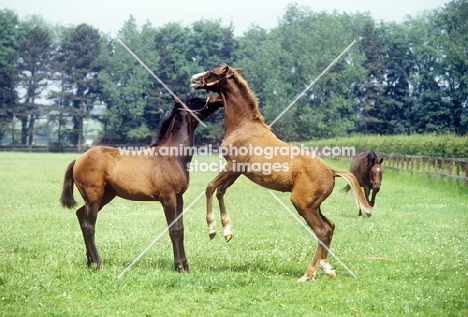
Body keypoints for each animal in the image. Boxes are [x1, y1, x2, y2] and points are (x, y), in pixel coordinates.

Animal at [59, 96, 223, 272]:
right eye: (194, 101)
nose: (218, 98)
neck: (172, 156)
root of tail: (78, 159)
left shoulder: (179, 198)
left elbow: (180, 229)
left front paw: (185, 266)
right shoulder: (168, 197)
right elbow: (173, 230)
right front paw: (179, 266)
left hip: (105, 196)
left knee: (80, 215)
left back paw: (90, 261)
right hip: (94, 195)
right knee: (89, 226)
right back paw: (99, 264)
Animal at [191, 65, 372, 282]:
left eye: (213, 72)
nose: (194, 79)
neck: (244, 127)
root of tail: (331, 170)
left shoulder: (233, 166)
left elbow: (210, 187)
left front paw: (212, 230)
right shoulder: (237, 171)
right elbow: (220, 191)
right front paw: (227, 231)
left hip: (303, 205)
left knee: (322, 231)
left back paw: (307, 274)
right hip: (315, 205)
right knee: (330, 227)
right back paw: (326, 267)